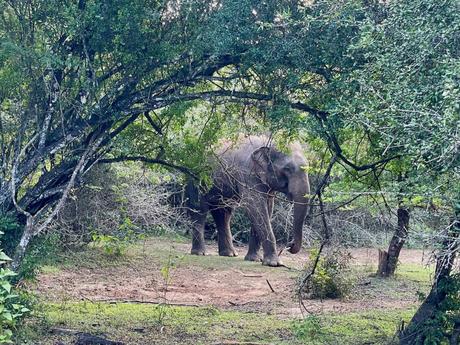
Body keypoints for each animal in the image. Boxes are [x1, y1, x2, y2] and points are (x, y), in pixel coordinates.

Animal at [185, 134, 310, 266]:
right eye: (287, 169)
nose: (290, 245)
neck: (266, 140)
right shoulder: (247, 173)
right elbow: (255, 205)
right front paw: (274, 264)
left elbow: (266, 208)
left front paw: (254, 259)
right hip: (195, 177)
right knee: (199, 209)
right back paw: (200, 253)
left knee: (223, 213)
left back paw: (230, 254)